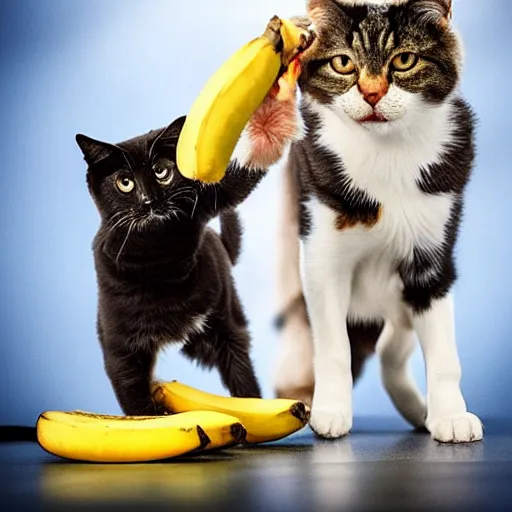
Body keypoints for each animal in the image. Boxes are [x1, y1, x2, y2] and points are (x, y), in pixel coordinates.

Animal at [274, 0, 482, 440]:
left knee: (392, 348)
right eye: (342, 63)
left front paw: (450, 416)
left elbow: (444, 350)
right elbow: (334, 345)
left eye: (404, 60)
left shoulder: (433, 257)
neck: (386, 152)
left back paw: (419, 410)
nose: (372, 93)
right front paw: (330, 412)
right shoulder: (319, 253)